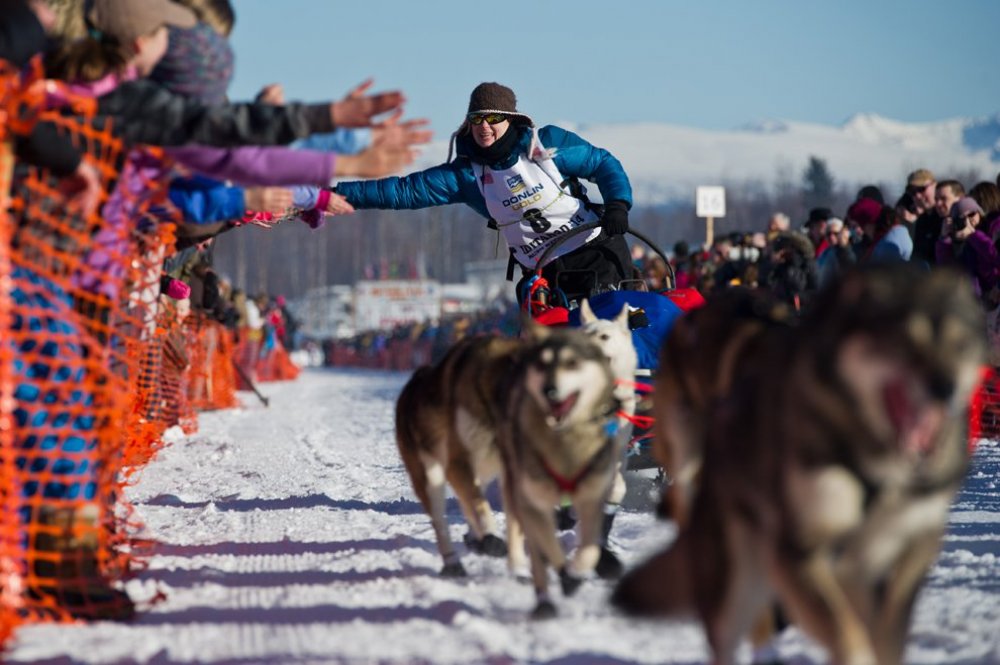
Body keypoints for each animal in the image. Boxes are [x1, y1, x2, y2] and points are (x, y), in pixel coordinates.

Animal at [500, 320, 624, 616]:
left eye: (572, 363)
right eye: (542, 364)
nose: (550, 391)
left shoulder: (592, 497)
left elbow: (590, 547)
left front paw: (580, 570)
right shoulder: (532, 503)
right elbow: (547, 545)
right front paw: (566, 576)